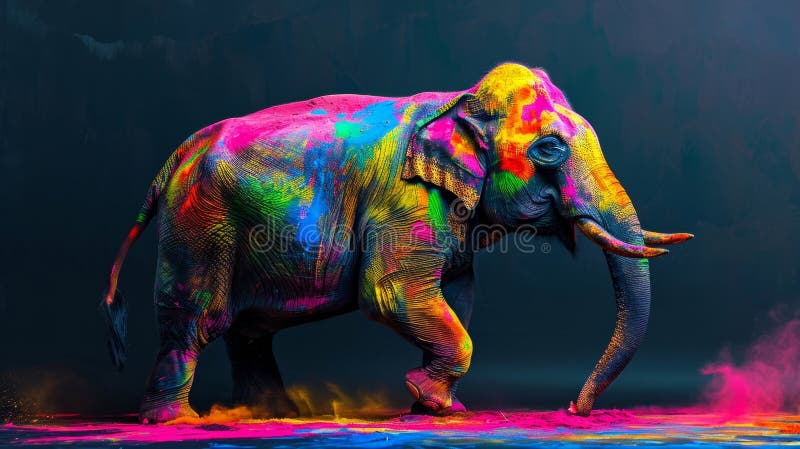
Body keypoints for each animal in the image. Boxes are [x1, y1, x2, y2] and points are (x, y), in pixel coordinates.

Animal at [100, 63, 692, 423]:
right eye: (549, 148)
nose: (574, 409)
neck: (460, 100)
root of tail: (176, 156)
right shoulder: (404, 200)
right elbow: (392, 295)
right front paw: (431, 400)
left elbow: (458, 296)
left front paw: (434, 407)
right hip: (200, 226)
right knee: (197, 317)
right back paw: (179, 419)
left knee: (249, 330)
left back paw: (267, 413)